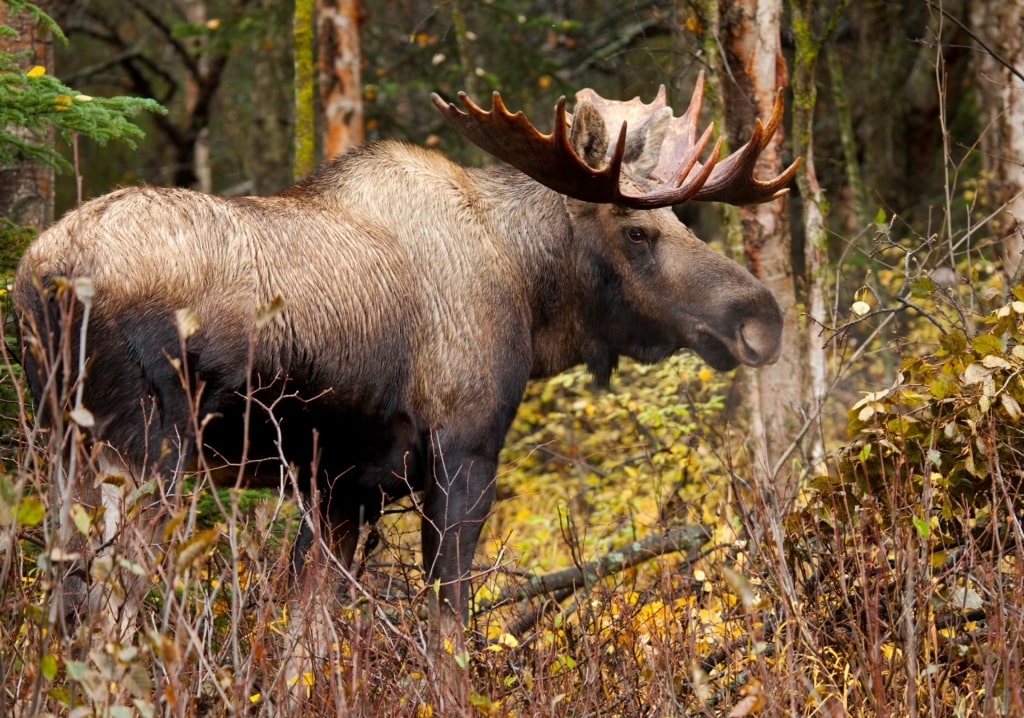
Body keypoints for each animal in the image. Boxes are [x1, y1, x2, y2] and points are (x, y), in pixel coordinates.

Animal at [18, 72, 798, 630]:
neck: (528, 293)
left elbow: (306, 642)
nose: (761, 319)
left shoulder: (341, 488)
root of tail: (43, 278)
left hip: (59, 444)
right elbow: (448, 631)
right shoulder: (462, 453)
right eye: (637, 231)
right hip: (145, 450)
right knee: (105, 614)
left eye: (681, 219)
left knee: (58, 598)